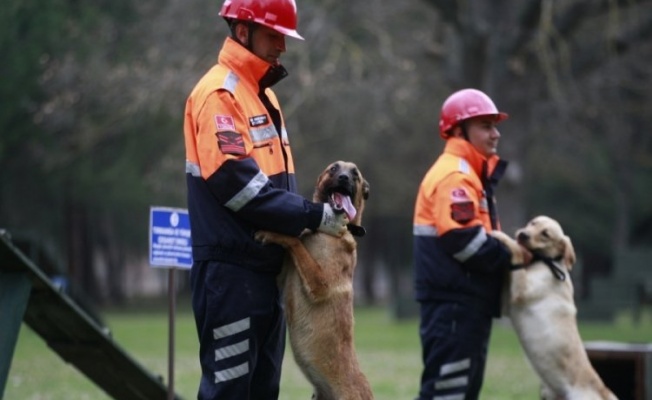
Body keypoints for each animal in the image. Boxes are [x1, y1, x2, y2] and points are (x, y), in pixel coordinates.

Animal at [258, 160, 374, 400]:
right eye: (334, 168)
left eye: (355, 174)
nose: (344, 178)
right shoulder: (287, 274)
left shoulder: (320, 283)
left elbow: (295, 242)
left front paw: (272, 233)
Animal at [492, 217, 620, 398]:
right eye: (533, 223)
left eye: (545, 234)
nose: (523, 234)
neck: (545, 263)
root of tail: (604, 391)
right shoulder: (506, 303)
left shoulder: (520, 293)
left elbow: (516, 251)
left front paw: (503, 238)